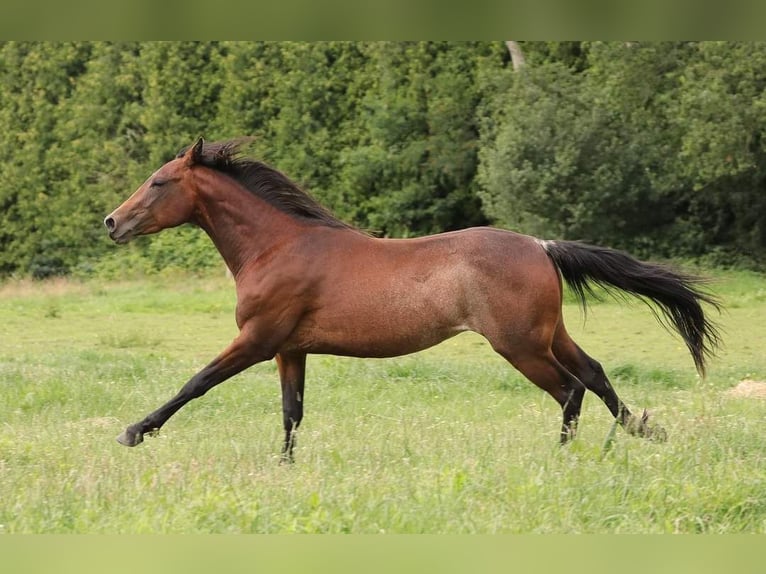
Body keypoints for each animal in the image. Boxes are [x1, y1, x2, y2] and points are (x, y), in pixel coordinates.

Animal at [105, 137, 724, 462]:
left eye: (159, 182)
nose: (111, 222)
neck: (277, 246)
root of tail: (540, 246)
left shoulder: (257, 340)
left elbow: (196, 382)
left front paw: (134, 432)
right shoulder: (289, 349)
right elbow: (291, 411)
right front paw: (283, 466)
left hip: (520, 346)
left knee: (569, 388)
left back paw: (561, 457)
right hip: (548, 334)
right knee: (593, 372)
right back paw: (642, 430)